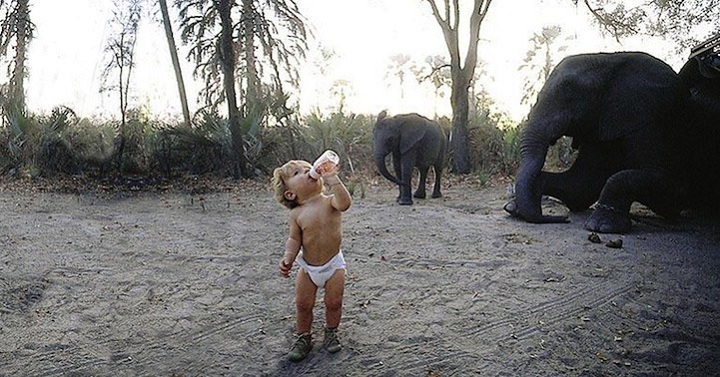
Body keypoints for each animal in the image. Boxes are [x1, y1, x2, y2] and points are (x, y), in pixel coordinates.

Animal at [504, 36, 720, 234]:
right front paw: (515, 207)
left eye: (569, 97)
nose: (561, 218)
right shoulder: (602, 125)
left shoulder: (650, 117)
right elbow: (580, 186)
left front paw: (602, 227)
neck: (609, 61)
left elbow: (671, 187)